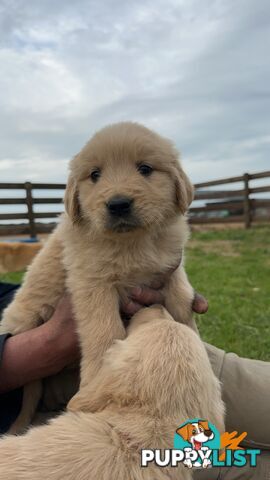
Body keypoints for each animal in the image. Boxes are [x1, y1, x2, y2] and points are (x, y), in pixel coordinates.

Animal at [1, 121, 196, 432]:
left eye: (145, 169)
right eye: (95, 175)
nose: (118, 204)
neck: (132, 242)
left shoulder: (169, 266)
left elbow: (181, 301)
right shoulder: (93, 284)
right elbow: (105, 332)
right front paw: (97, 379)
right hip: (25, 326)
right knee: (30, 394)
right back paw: (20, 426)